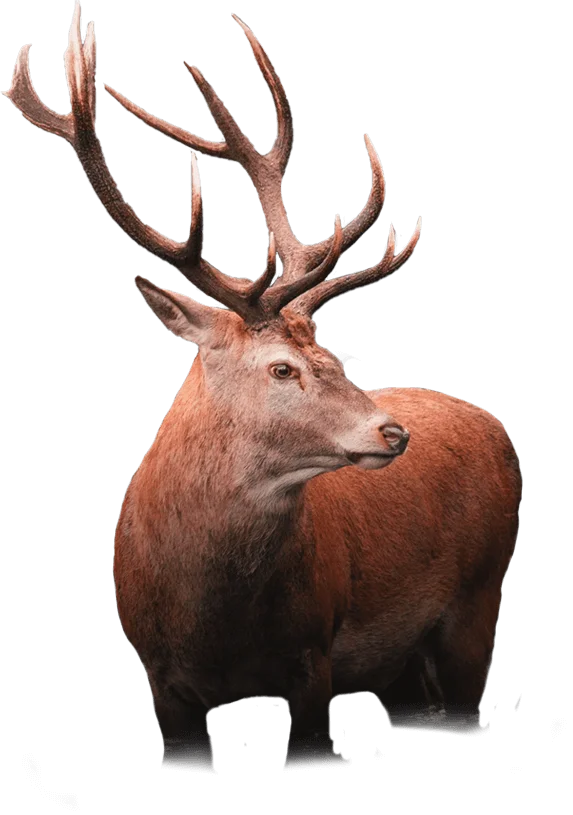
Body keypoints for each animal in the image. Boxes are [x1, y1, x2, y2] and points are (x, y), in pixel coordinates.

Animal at [4, 2, 521, 772]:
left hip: (478, 597)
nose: (392, 431)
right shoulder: (160, 680)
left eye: (333, 356)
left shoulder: (315, 657)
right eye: (282, 367)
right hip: (402, 661)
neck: (212, 623)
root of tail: (492, 423)